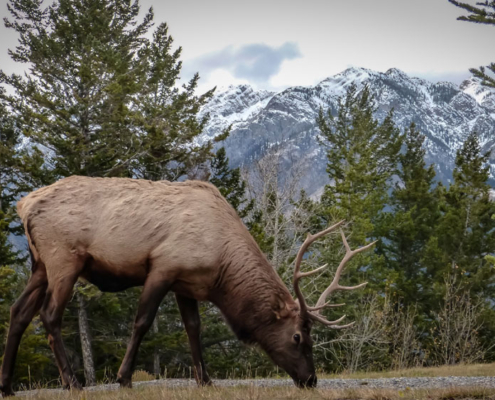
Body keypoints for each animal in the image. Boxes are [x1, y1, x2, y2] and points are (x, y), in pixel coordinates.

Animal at [0, 177, 372, 396]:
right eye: (297, 337)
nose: (311, 379)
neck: (222, 268)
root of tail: (23, 205)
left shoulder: (187, 283)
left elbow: (194, 328)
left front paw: (205, 379)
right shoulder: (163, 266)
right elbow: (142, 322)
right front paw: (124, 378)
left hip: (39, 265)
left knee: (18, 312)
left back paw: (7, 385)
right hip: (64, 258)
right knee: (49, 315)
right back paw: (73, 382)